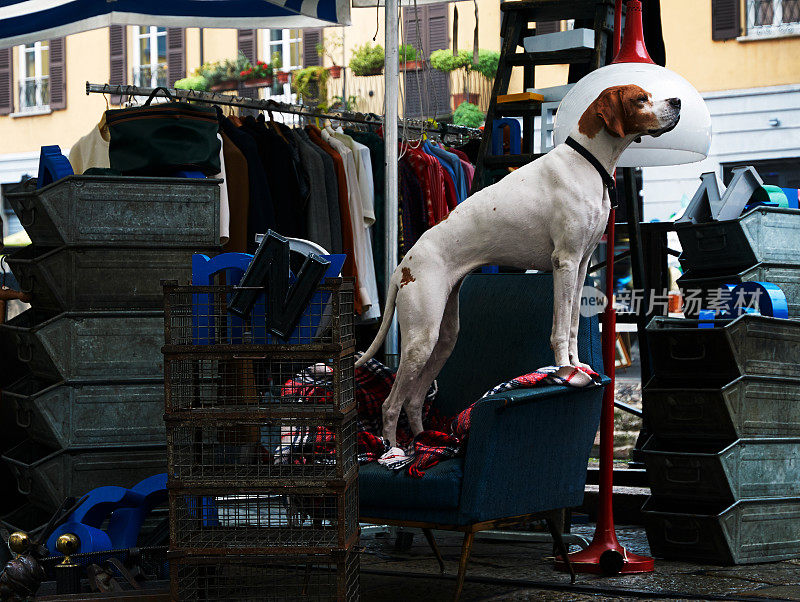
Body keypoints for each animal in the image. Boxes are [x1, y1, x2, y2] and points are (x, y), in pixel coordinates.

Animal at [360, 82, 680, 452]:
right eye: (640, 99)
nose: (678, 101)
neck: (586, 163)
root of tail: (403, 266)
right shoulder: (565, 262)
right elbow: (560, 328)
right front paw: (564, 370)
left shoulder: (582, 264)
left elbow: (573, 325)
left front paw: (579, 365)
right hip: (419, 339)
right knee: (391, 402)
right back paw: (394, 448)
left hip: (443, 338)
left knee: (413, 400)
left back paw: (425, 442)